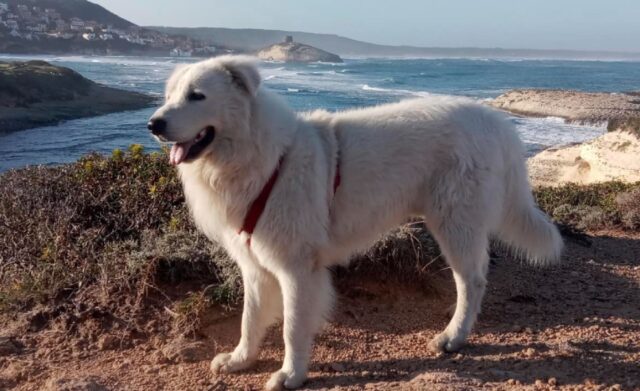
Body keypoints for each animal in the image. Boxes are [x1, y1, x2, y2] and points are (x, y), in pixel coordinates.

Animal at [149, 56, 560, 391]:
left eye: (197, 96)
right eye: (169, 96)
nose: (154, 123)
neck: (264, 159)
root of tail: (496, 122)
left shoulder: (297, 268)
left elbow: (292, 327)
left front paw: (291, 375)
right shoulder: (255, 265)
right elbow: (249, 319)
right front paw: (240, 359)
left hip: (455, 225)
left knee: (471, 282)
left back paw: (453, 337)